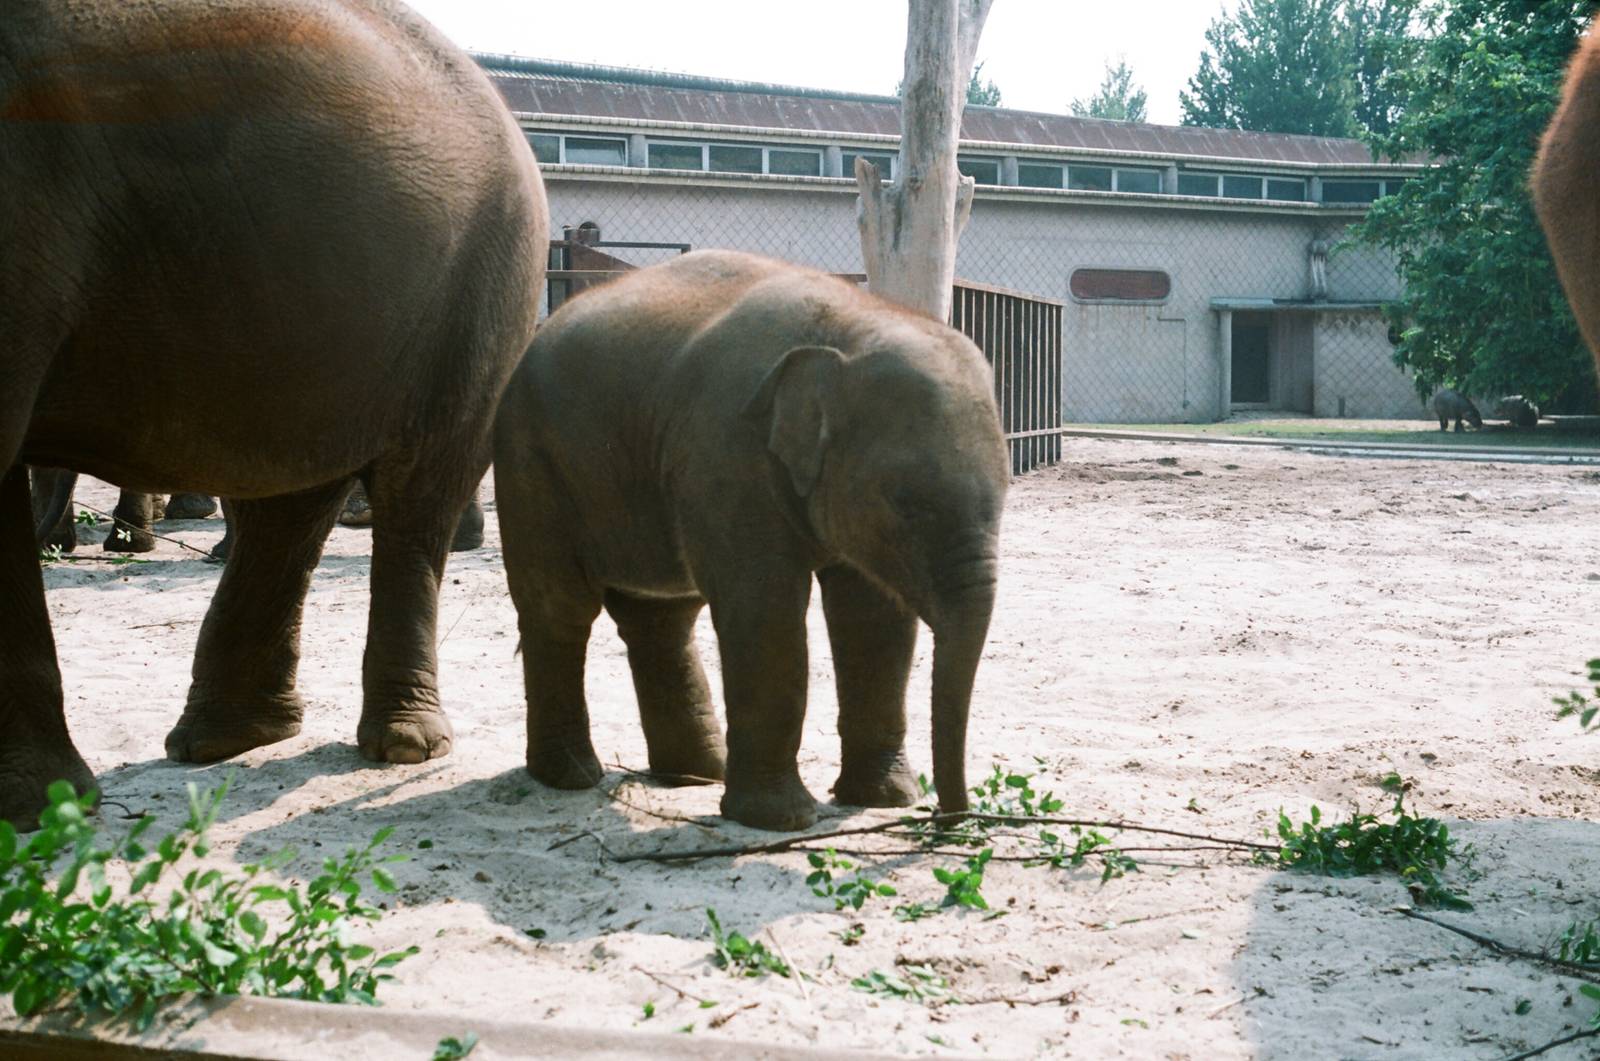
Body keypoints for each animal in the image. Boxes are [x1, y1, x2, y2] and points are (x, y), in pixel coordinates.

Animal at [3, 0, 547, 827]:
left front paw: (39, 810)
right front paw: (43, 807)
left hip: (482, 291)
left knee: (417, 490)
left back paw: (401, 745)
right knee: (289, 500)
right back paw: (228, 739)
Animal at [494, 250, 1009, 831]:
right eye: (905, 503)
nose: (949, 818)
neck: (850, 325)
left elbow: (873, 619)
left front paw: (883, 800)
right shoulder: (727, 456)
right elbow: (766, 610)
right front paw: (782, 820)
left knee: (660, 617)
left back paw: (696, 775)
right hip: (531, 461)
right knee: (560, 608)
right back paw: (572, 777)